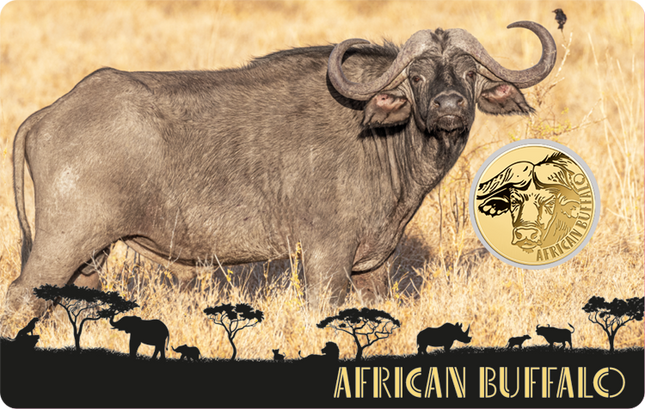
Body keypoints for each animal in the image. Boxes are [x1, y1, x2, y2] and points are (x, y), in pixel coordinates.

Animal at [4, 22, 556, 323]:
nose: (449, 106)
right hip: (62, 245)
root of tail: (50, 113)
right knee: (19, 296)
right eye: (416, 76)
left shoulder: (375, 264)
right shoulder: (326, 260)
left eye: (469, 72)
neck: (380, 139)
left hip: (90, 259)